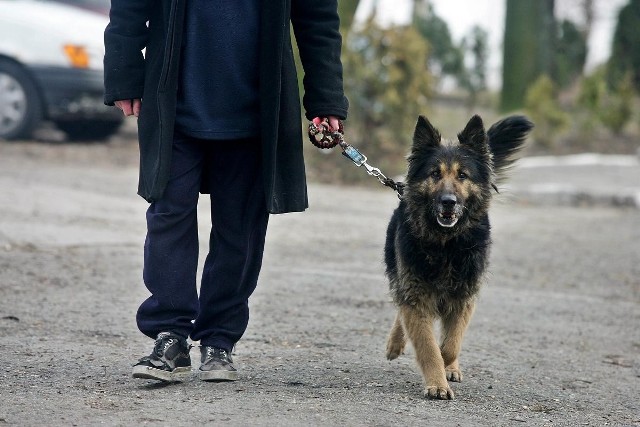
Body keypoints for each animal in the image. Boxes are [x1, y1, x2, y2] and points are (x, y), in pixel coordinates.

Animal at [384, 114, 528, 402]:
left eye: (463, 175)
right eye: (434, 174)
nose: (448, 201)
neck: (446, 244)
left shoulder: (464, 297)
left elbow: (450, 345)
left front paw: (447, 364)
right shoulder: (416, 296)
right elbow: (428, 345)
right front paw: (437, 382)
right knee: (400, 308)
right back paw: (396, 342)